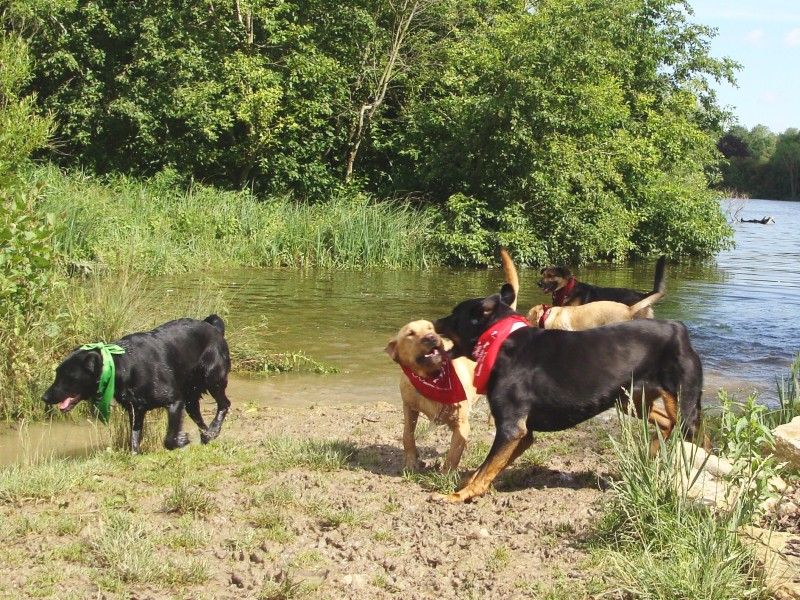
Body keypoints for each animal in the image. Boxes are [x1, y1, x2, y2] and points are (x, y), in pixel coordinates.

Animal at [43, 316, 231, 452]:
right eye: (57, 372)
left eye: (68, 376)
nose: (44, 397)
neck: (123, 365)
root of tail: (214, 328)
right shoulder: (136, 410)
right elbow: (134, 437)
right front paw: (135, 453)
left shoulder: (175, 402)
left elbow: (169, 439)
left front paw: (181, 440)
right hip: (191, 398)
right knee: (201, 419)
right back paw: (208, 436)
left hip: (212, 379)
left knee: (224, 404)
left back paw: (214, 429)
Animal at [386, 322, 478, 472]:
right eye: (410, 333)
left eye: (431, 328)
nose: (431, 337)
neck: (430, 379)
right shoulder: (409, 408)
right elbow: (407, 435)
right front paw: (411, 463)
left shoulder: (461, 422)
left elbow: (453, 454)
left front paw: (446, 474)